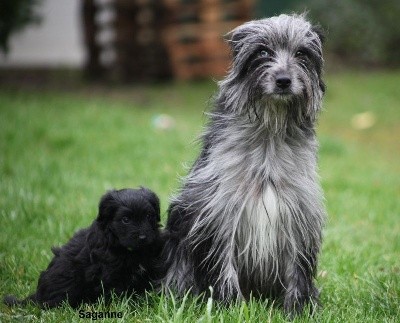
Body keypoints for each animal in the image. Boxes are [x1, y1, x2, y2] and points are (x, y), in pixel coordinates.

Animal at [3, 189, 162, 310]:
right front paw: (130, 306)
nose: (143, 237)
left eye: (149, 216)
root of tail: (37, 297)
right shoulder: (110, 275)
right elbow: (119, 293)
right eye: (126, 220)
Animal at [161, 14, 326, 316]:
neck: (269, 133)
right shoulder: (219, 213)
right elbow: (223, 263)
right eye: (262, 52)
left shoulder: (298, 214)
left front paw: (299, 307)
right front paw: (229, 305)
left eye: (301, 54)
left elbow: (297, 268)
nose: (283, 80)